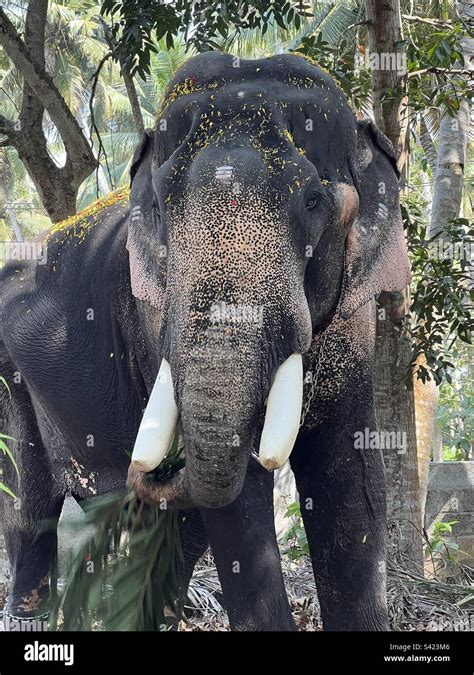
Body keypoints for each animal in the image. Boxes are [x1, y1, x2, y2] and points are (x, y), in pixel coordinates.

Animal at [0, 52, 410, 632]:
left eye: (313, 201)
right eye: (162, 205)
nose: (149, 470)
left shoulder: (355, 313)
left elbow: (349, 474)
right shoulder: (152, 310)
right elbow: (240, 502)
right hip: (10, 378)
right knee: (27, 502)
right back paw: (32, 617)